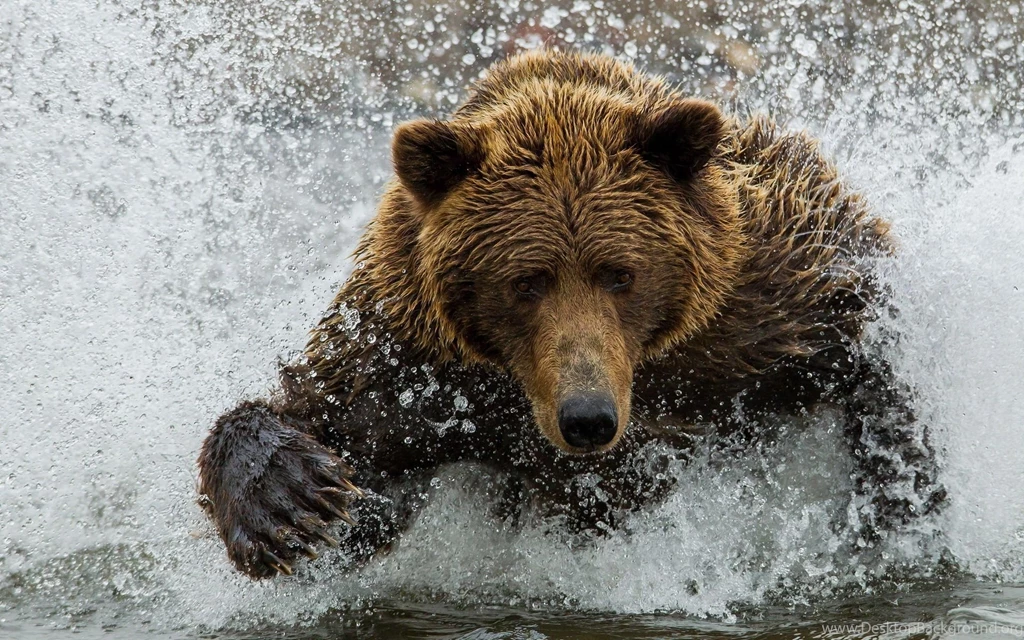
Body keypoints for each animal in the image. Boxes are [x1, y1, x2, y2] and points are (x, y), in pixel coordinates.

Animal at [197, 50, 946, 579]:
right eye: (526, 281)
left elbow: (864, 345)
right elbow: (330, 422)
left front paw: (896, 504)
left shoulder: (767, 296)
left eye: (621, 274)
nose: (588, 418)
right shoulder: (413, 365)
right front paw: (291, 504)